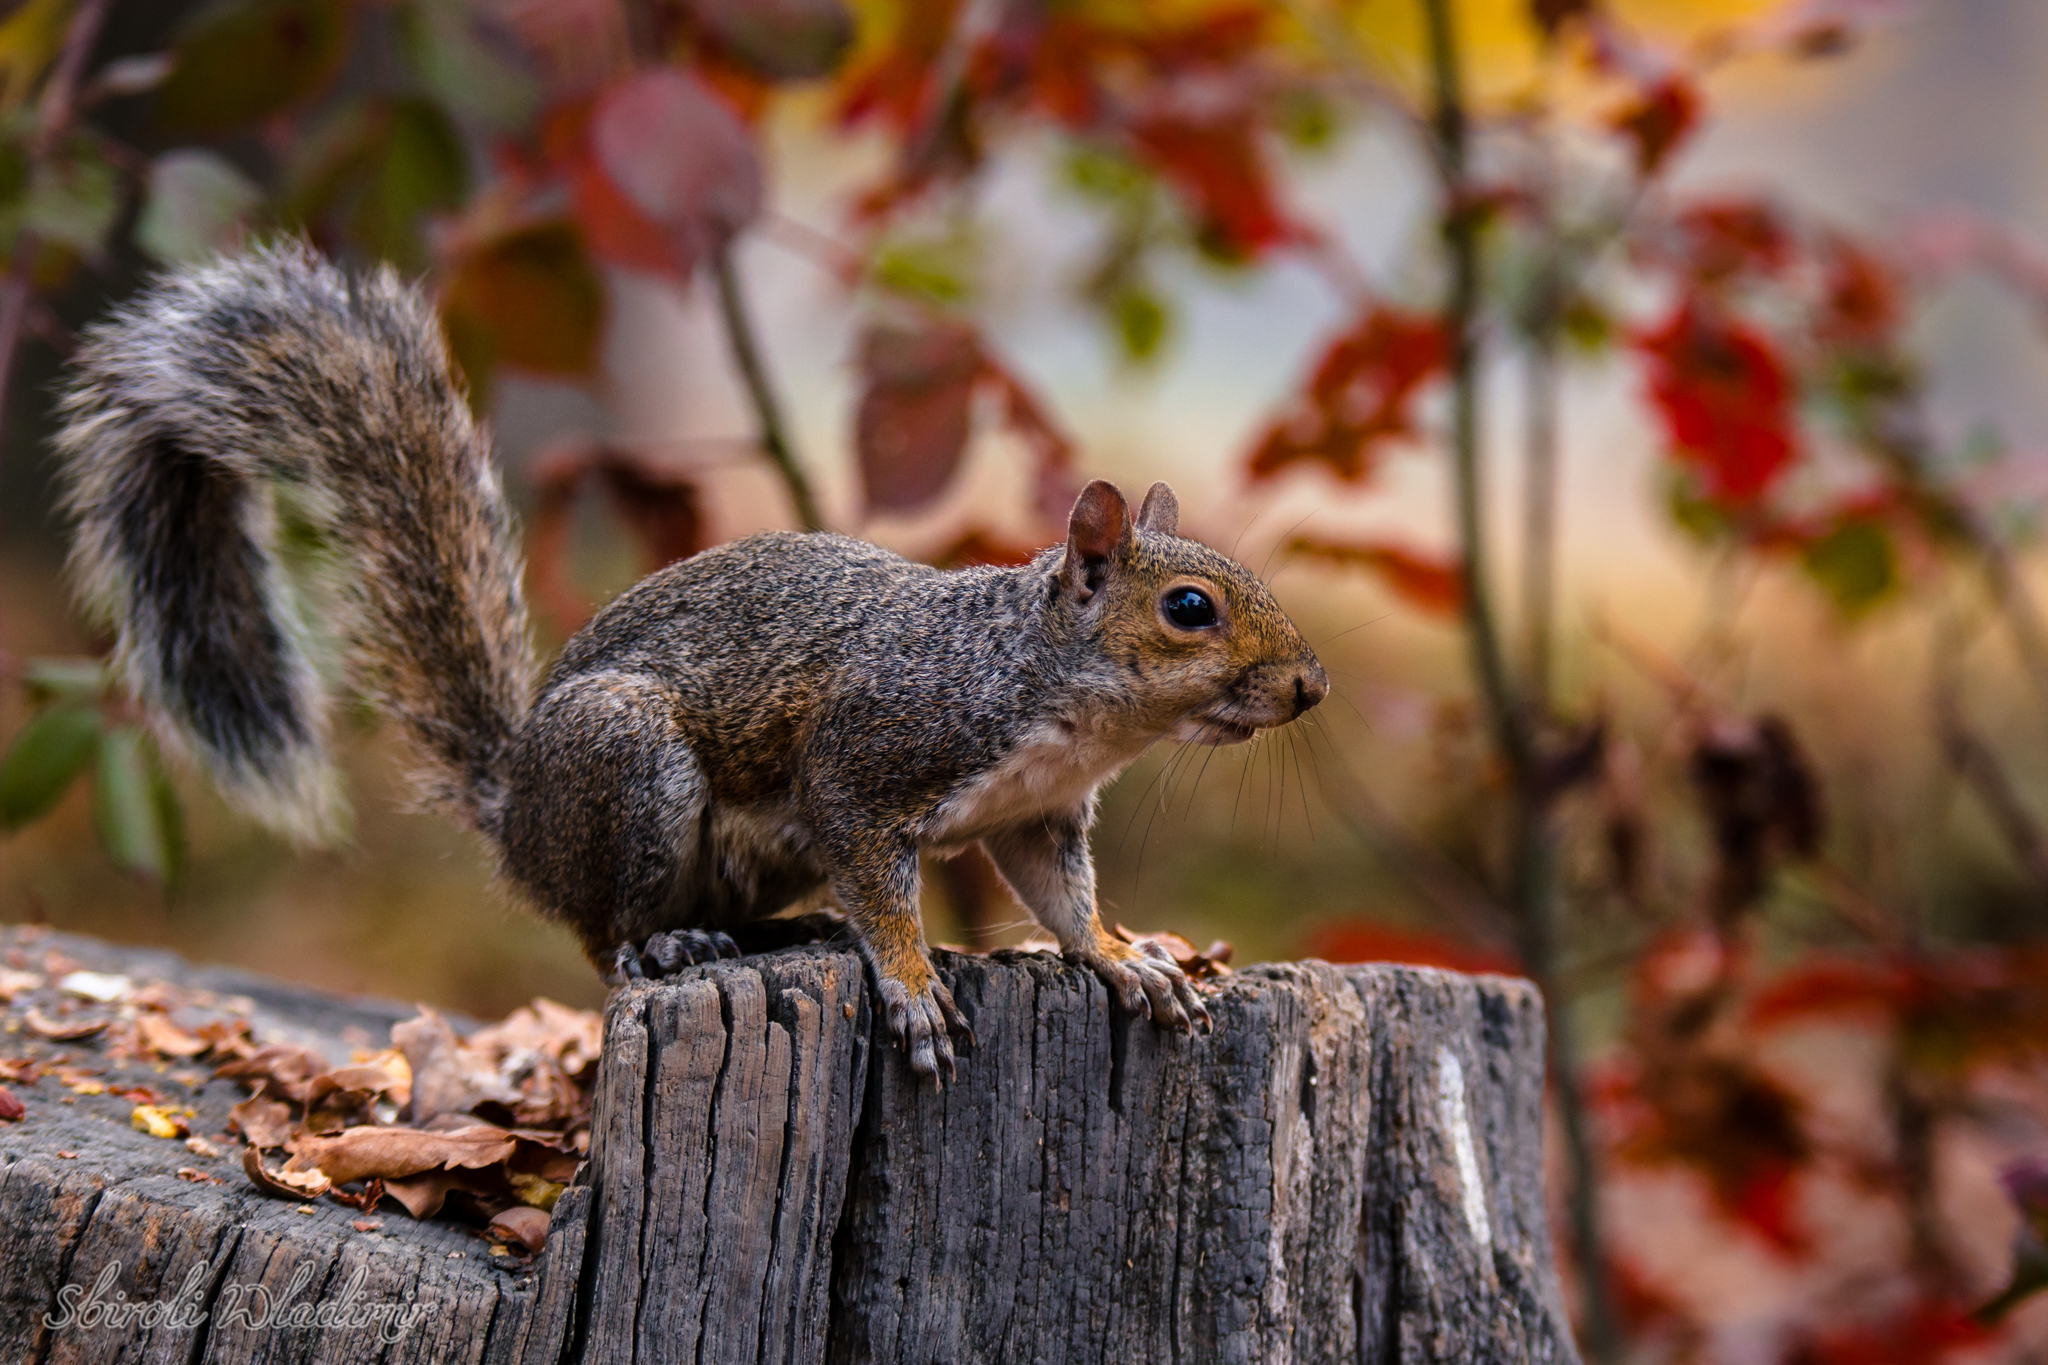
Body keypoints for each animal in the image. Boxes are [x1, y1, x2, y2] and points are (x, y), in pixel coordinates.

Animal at [50, 242, 1329, 1084]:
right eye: (1188, 608)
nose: (1309, 686)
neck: (1058, 705)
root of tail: (517, 815)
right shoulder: (870, 758)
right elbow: (880, 879)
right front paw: (914, 984)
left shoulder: (1034, 816)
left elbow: (1061, 901)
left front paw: (1124, 957)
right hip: (628, 770)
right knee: (596, 932)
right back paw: (667, 940)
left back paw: (784, 935)